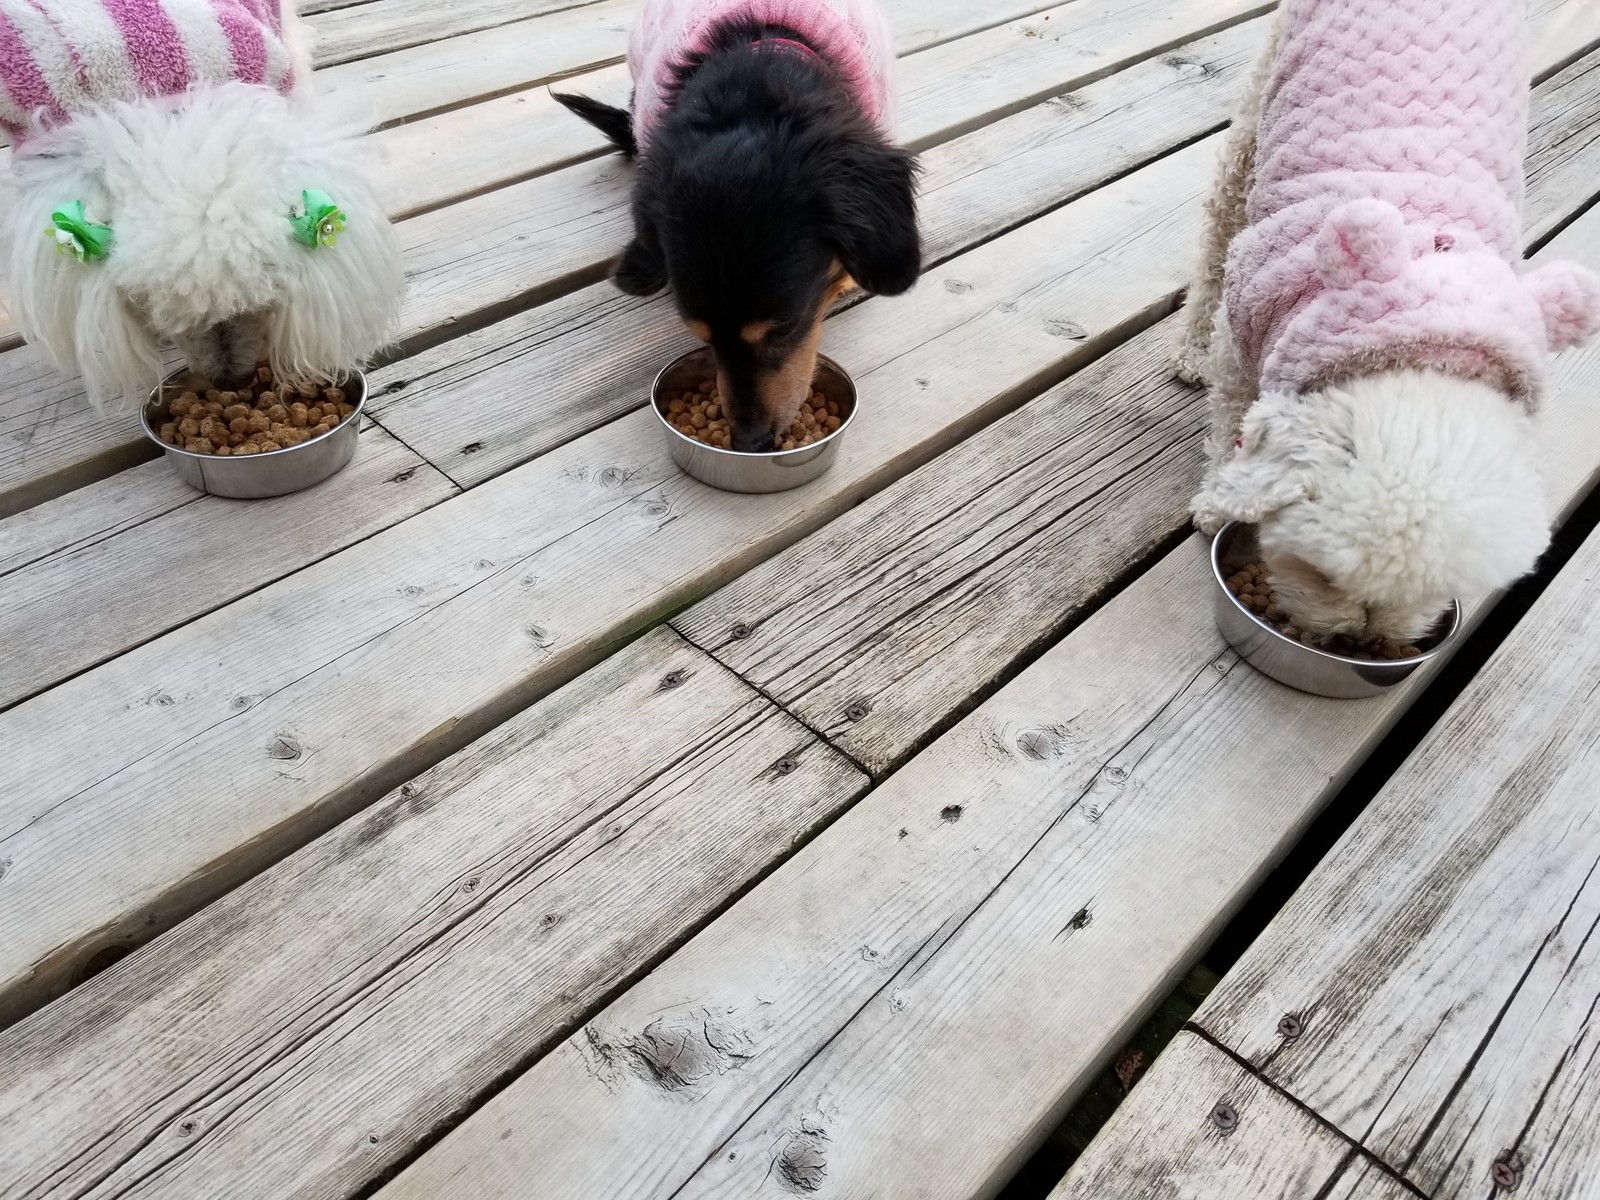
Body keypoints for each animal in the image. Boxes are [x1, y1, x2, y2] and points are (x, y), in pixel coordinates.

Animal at [1178, 0, 1600, 645]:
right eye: (1324, 575)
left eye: (1432, 589)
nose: (1357, 642)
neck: (1422, 342)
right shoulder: (1244, 323)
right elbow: (1230, 412)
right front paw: (1218, 499)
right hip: (1254, 116)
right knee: (1214, 236)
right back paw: (1189, 350)